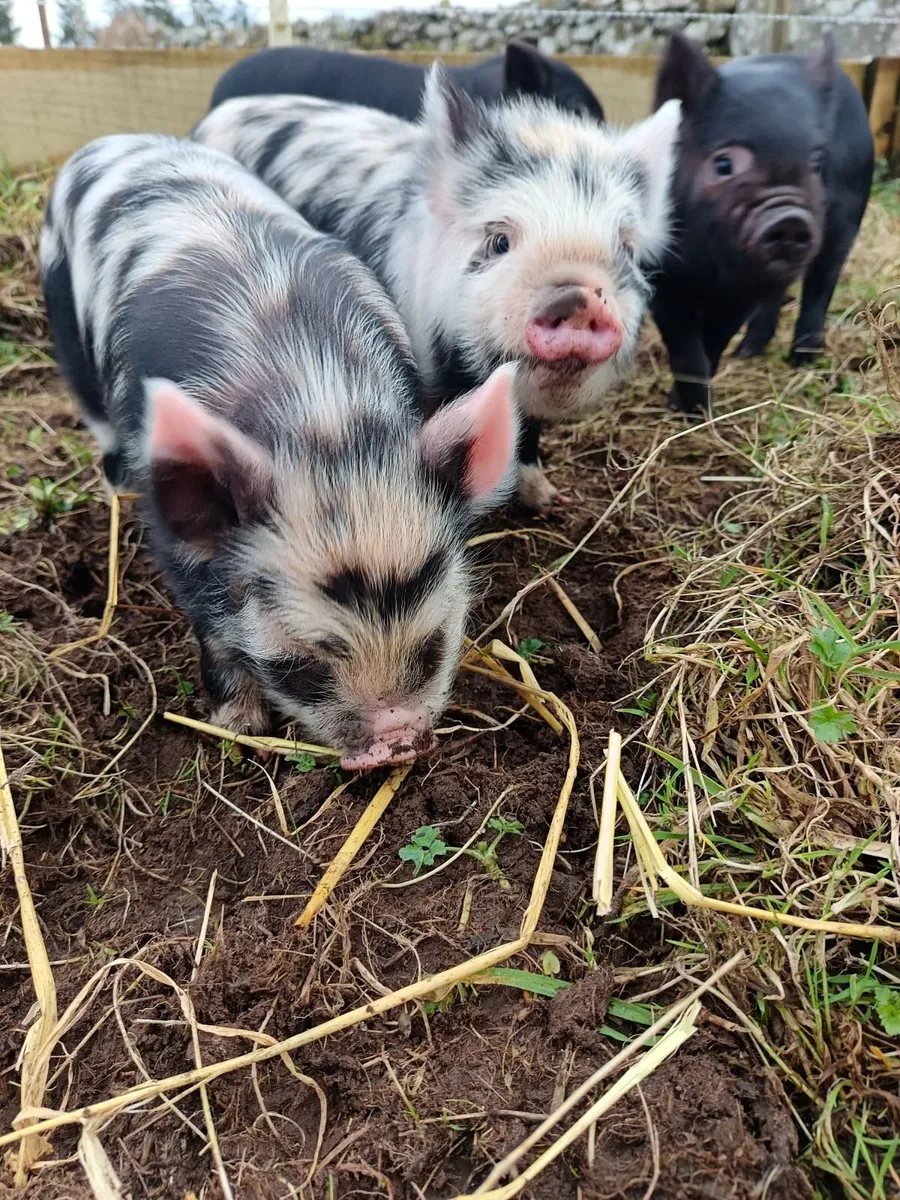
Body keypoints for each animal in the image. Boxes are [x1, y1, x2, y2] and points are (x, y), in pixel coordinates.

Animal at [40, 134, 519, 769]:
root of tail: (109, 141)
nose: (393, 745)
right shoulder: (182, 548)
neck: (323, 415)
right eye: (303, 665)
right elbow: (215, 626)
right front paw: (236, 728)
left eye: (434, 645)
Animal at [192, 68, 681, 508]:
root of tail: (220, 111)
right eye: (499, 241)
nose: (578, 296)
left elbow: (525, 434)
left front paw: (547, 500)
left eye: (626, 248)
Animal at [651, 32, 874, 415]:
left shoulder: (739, 293)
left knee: (820, 287)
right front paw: (685, 408)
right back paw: (747, 352)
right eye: (724, 164)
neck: (707, 268)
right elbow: (683, 343)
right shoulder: (659, 275)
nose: (791, 219)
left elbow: (714, 339)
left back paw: (801, 359)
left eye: (816, 164)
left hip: (846, 222)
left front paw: (693, 408)